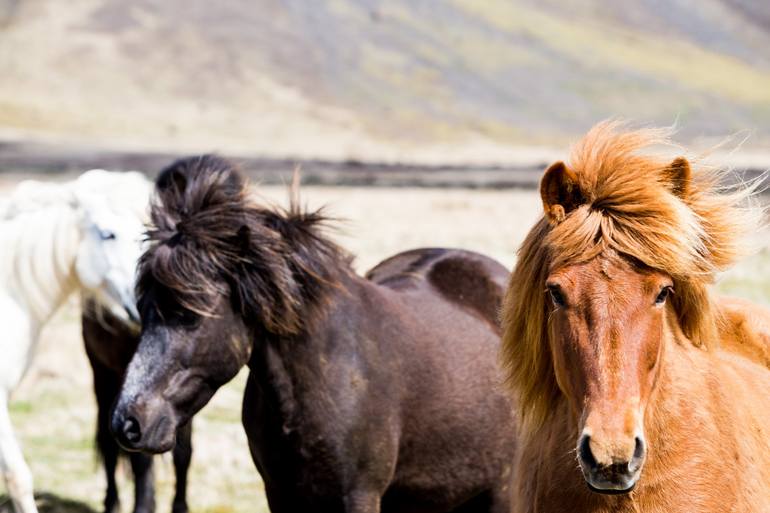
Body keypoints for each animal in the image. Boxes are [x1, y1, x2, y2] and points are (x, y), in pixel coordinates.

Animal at [82, 304, 192, 512]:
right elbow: (140, 459)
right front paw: (143, 506)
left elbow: (183, 454)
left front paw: (180, 507)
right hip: (102, 376)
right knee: (109, 446)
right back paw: (112, 504)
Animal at [108, 156, 516, 512]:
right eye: (142, 309)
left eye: (189, 316)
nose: (127, 424)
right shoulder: (279, 494)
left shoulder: (358, 496)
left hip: (502, 491)